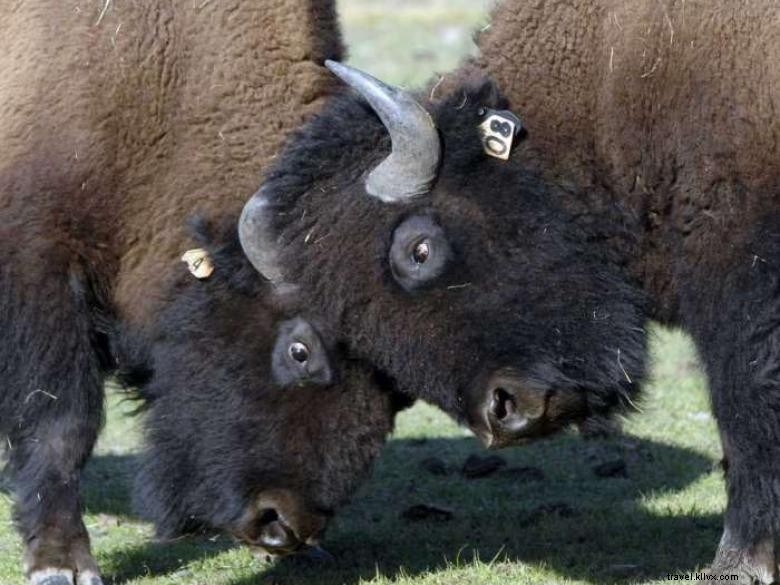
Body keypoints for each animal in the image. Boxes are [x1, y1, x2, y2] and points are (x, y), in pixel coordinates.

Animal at [241, 1, 776, 580]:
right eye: (350, 328)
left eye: (419, 250)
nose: (505, 410)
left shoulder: (739, 293)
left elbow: (744, 410)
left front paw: (740, 561)